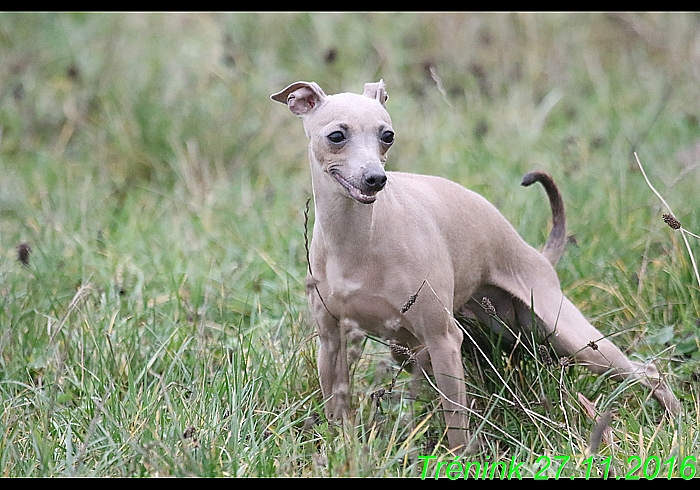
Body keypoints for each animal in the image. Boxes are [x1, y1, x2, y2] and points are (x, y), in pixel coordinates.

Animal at [270, 79, 680, 452]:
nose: (376, 179)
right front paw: (340, 451)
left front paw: (458, 459)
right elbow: (336, 412)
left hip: (569, 337)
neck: (357, 240)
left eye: (387, 135)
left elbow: (456, 422)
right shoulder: (331, 341)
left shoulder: (444, 339)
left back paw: (674, 421)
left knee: (648, 372)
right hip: (460, 341)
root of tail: (535, 255)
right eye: (336, 135)